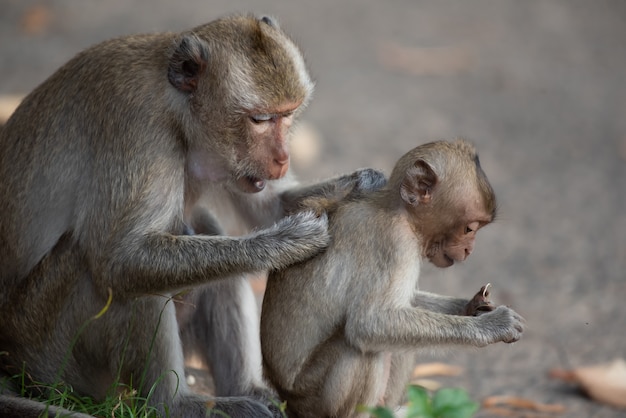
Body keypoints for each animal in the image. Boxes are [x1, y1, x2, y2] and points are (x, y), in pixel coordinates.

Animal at [0, 13, 382, 418]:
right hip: (52, 355)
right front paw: (284, 244)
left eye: (288, 115)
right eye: (260, 120)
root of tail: (10, 355)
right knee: (118, 278)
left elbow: (272, 206)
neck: (176, 110)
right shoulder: (140, 131)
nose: (283, 158)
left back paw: (246, 391)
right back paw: (176, 403)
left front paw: (365, 184)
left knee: (204, 233)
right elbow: (119, 261)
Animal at [260, 140, 524, 418]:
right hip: (313, 398)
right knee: (359, 345)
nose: (469, 250)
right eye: (469, 228)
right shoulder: (395, 243)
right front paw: (492, 325)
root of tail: (287, 401)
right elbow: (371, 322)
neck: (398, 212)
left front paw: (473, 306)